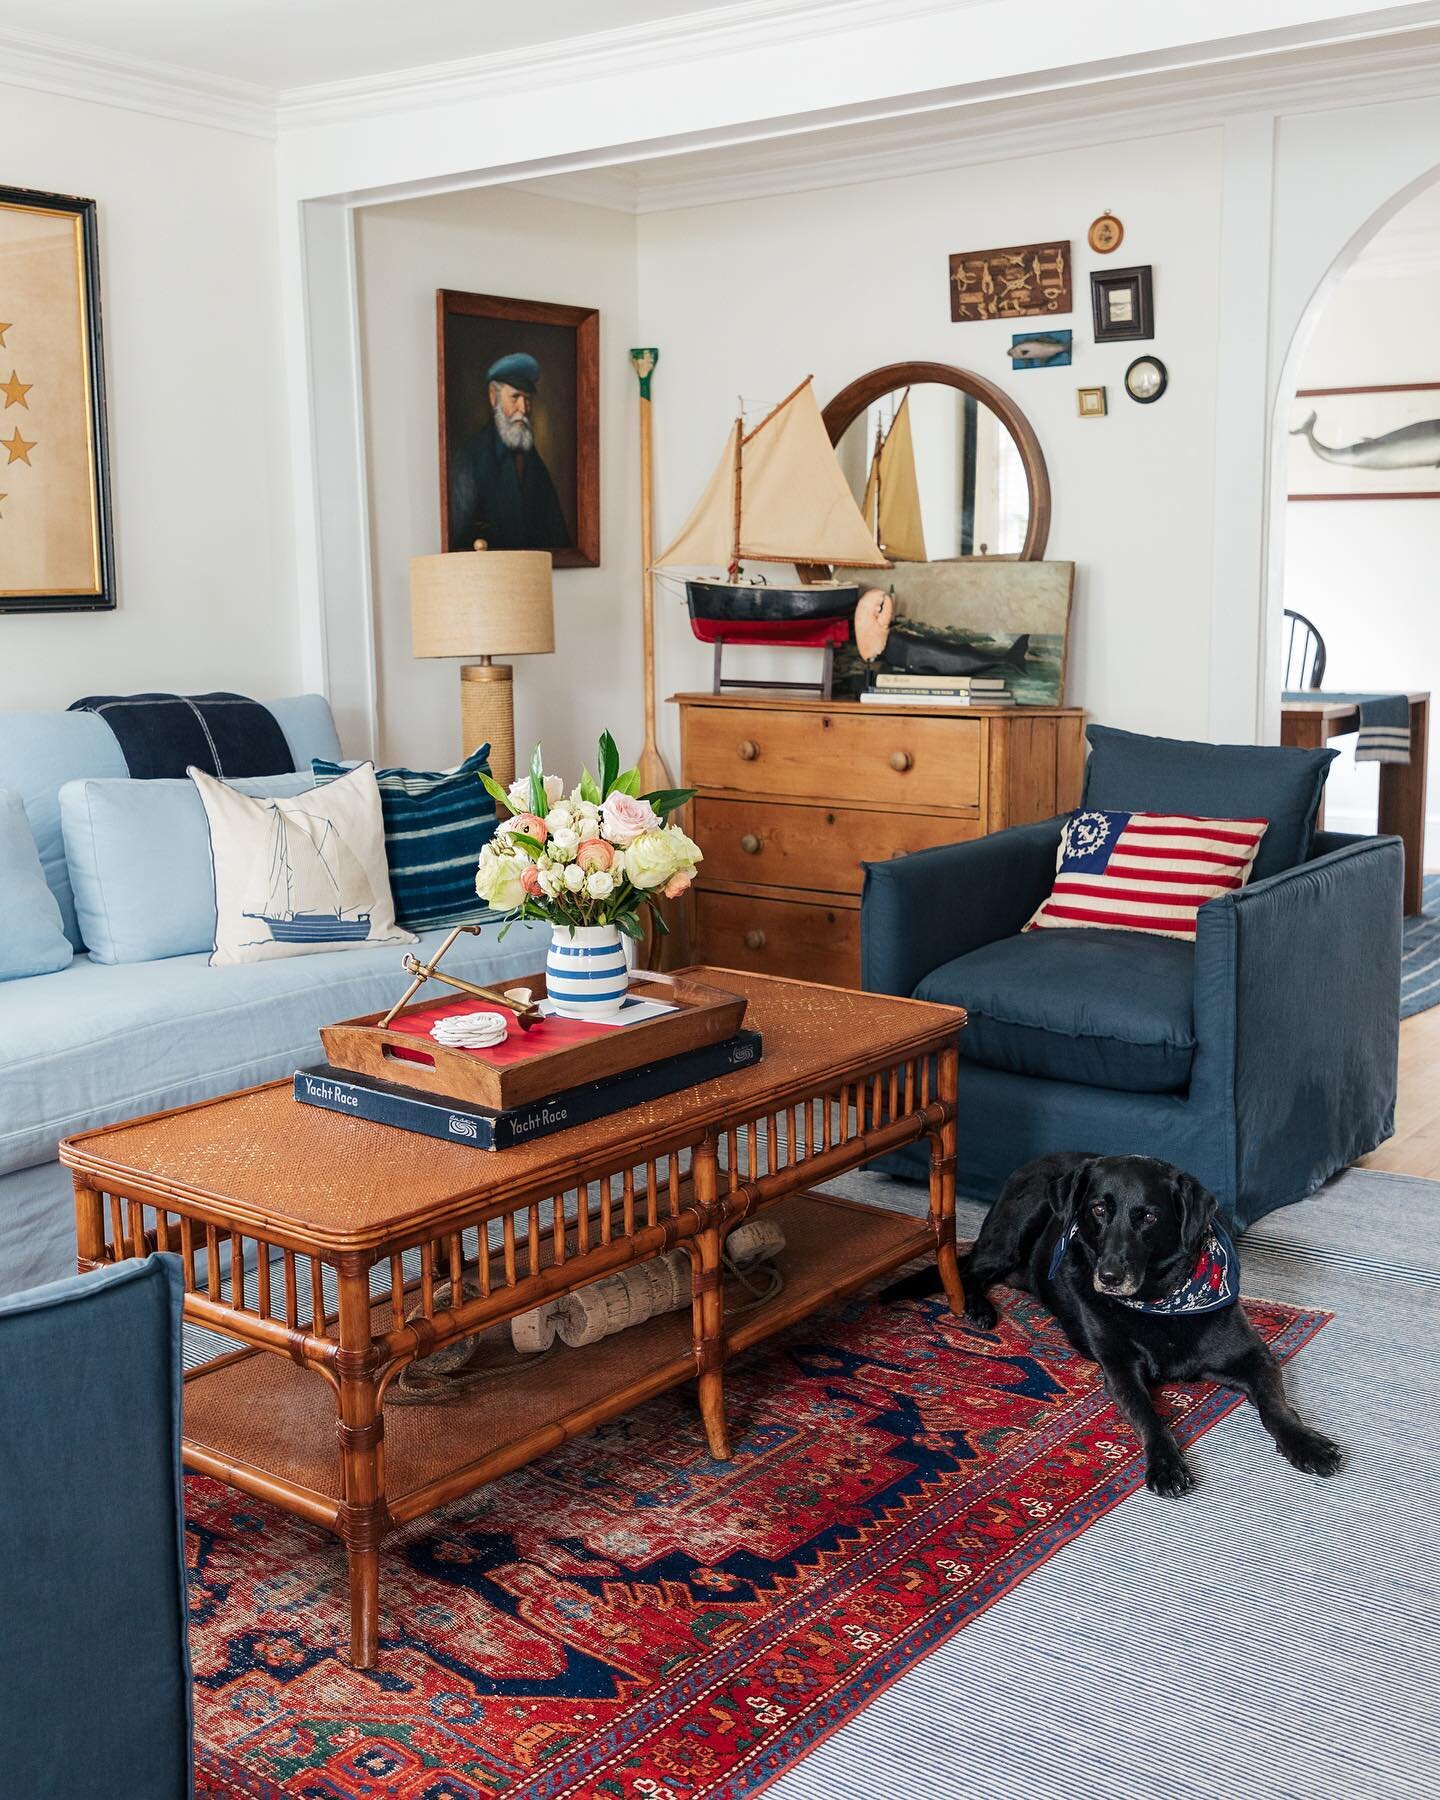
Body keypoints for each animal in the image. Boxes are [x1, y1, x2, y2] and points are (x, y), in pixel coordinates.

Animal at [882, 1152, 1346, 1490]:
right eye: (1099, 1209)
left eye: (1149, 1216)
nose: (1108, 1276)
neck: (1161, 1298)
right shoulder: (1120, 1370)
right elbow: (1148, 1416)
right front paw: (1165, 1463)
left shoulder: (1254, 1355)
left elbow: (1275, 1405)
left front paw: (1306, 1443)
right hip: (1015, 1228)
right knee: (970, 1270)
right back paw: (977, 1309)